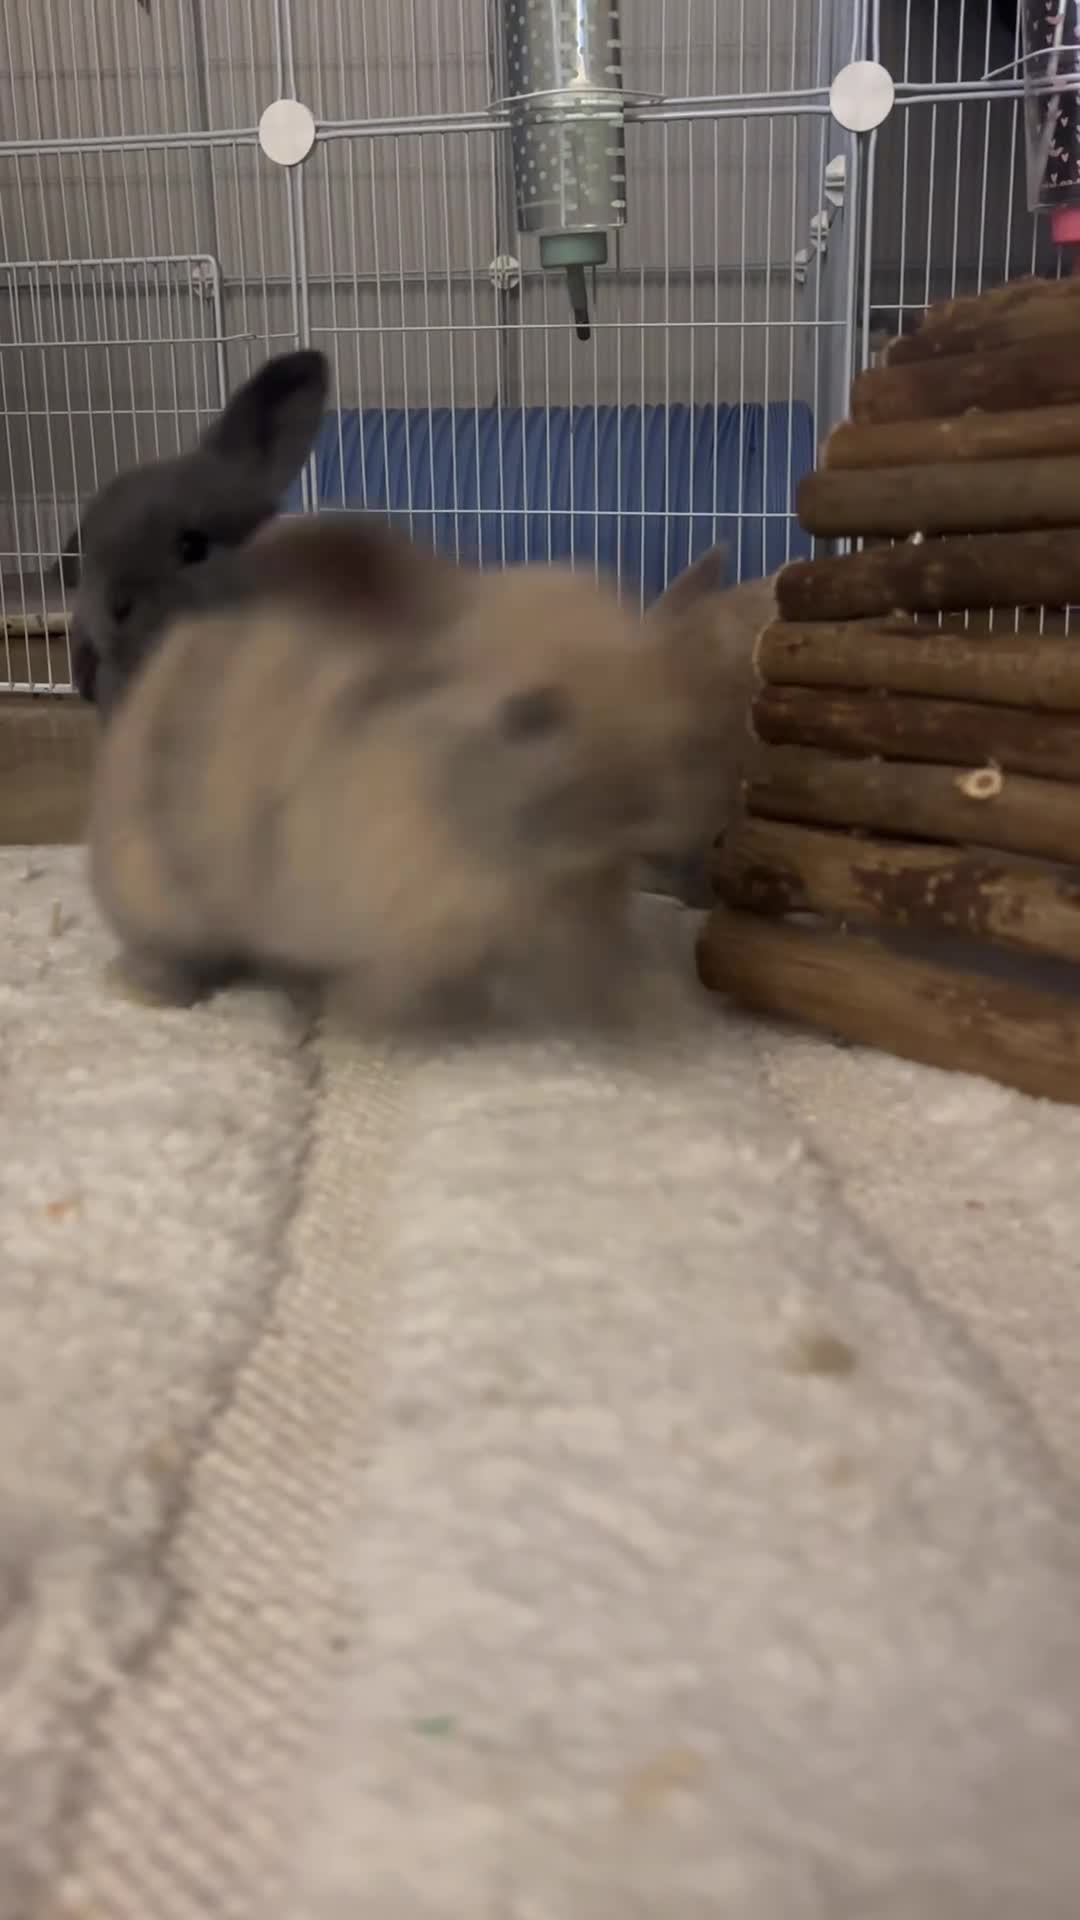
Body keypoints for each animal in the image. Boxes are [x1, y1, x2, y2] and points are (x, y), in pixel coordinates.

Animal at [87, 521, 727, 1033]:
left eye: (670, 703)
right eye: (528, 714)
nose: (654, 814)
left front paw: (626, 1011)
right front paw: (374, 1018)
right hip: (153, 890)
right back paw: (150, 991)